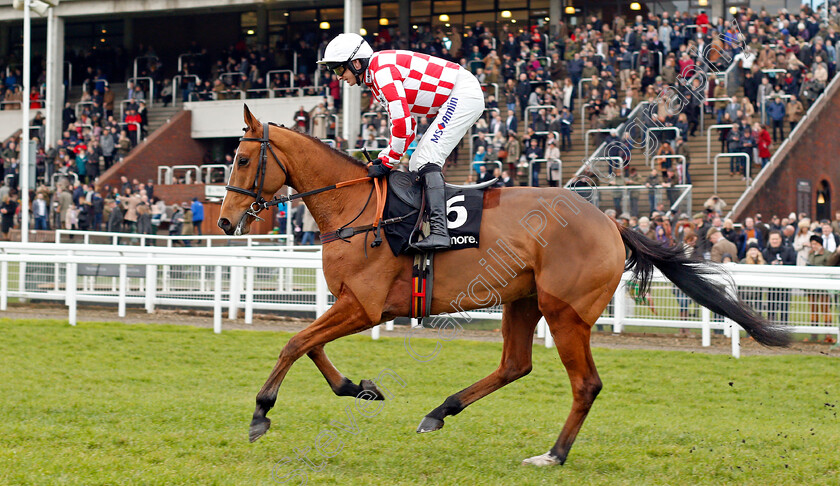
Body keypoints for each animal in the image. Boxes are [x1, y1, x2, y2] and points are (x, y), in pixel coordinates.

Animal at [215, 106, 788, 468]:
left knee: (585, 385)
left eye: (241, 160)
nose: (223, 221)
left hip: (565, 313)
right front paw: (359, 387)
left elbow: (295, 342)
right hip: (523, 301)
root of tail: (610, 222)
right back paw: (439, 412)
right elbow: (310, 345)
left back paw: (552, 454)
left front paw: (261, 413)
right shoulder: (350, 304)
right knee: (516, 365)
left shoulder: (367, 307)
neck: (357, 210)